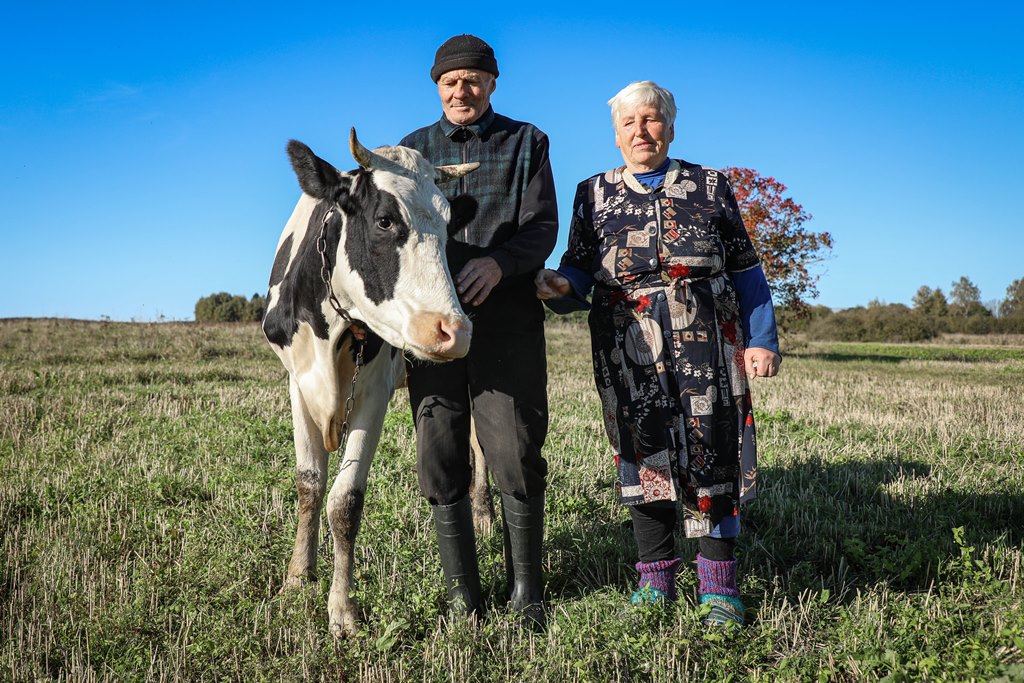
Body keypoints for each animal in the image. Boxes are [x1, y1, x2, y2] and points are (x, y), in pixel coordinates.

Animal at [260, 131, 475, 638]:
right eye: (384, 220)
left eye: (448, 228)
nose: (454, 331)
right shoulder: (297, 383)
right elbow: (309, 484)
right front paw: (297, 579)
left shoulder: (374, 390)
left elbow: (345, 500)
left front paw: (342, 609)